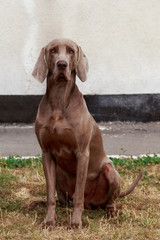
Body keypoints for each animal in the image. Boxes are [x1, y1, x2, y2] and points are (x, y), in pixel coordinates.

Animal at [31, 38, 142, 230]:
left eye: (71, 51)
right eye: (53, 51)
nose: (62, 64)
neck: (59, 101)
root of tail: (92, 204)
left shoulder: (82, 153)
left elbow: (79, 194)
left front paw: (75, 223)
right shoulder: (46, 153)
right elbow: (50, 195)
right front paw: (49, 221)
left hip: (110, 171)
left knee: (108, 201)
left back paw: (111, 213)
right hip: (59, 172)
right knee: (62, 201)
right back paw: (38, 204)